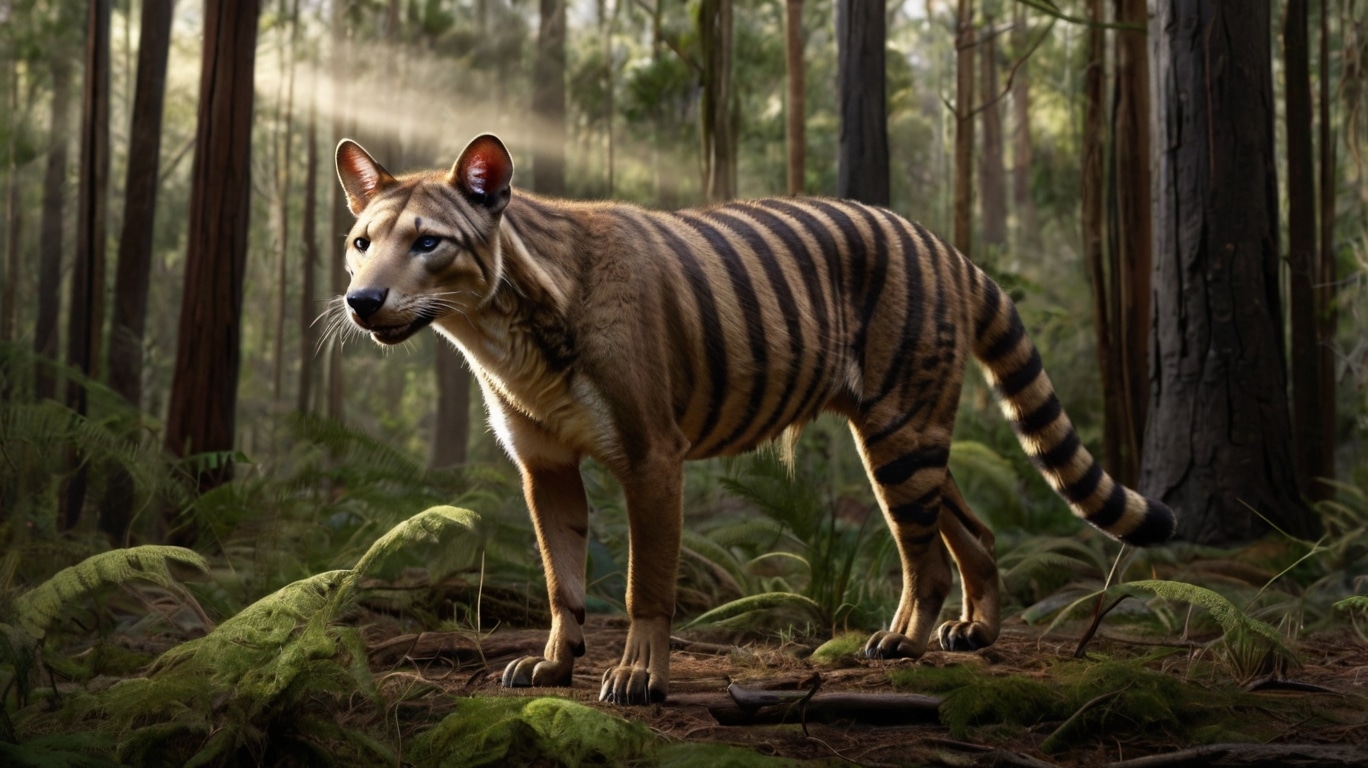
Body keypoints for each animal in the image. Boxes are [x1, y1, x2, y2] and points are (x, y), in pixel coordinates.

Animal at [332, 133, 1176, 705]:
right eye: (362, 242)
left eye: (428, 242)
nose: (361, 300)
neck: (498, 331)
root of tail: (946, 245)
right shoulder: (546, 467)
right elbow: (561, 578)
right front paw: (554, 664)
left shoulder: (652, 457)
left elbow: (645, 583)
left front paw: (636, 677)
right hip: (910, 438)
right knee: (974, 530)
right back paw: (974, 633)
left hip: (899, 434)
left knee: (925, 557)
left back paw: (900, 643)